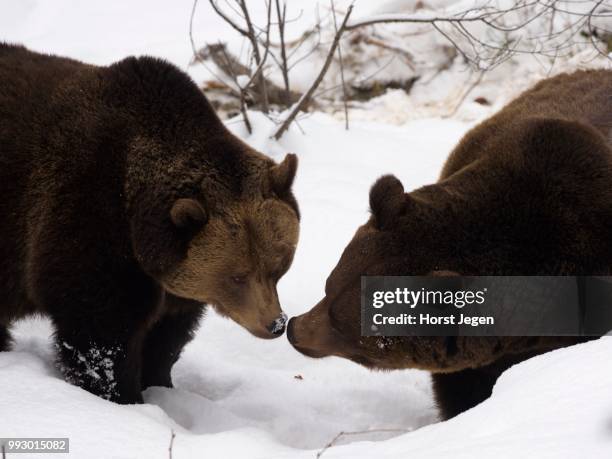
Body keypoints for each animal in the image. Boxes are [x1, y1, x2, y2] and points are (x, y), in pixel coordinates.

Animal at [0, 43, 298, 402]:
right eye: (237, 276)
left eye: (278, 266)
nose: (275, 323)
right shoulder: (86, 218)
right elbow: (101, 332)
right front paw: (124, 396)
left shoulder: (171, 281)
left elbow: (167, 335)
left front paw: (159, 381)